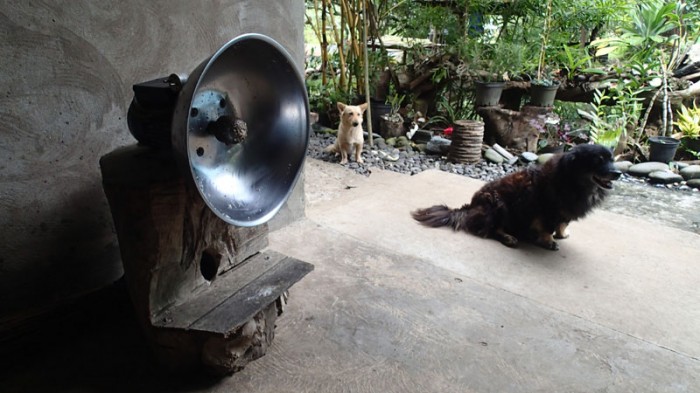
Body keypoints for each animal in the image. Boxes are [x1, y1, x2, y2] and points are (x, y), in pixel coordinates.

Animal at [412, 143, 620, 248]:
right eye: (598, 160)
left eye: (612, 159)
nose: (618, 173)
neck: (573, 181)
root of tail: (470, 206)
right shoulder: (548, 209)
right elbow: (548, 227)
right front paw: (549, 241)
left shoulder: (565, 210)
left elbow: (563, 223)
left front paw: (562, 234)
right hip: (500, 205)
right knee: (491, 230)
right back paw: (508, 237)